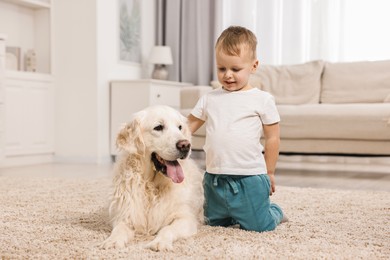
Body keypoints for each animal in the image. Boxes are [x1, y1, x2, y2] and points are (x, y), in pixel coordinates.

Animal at [100, 104, 204, 251]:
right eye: (158, 127)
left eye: (180, 127)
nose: (185, 145)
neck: (152, 185)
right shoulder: (126, 216)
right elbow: (119, 229)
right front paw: (112, 241)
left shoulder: (185, 218)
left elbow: (167, 229)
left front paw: (160, 242)